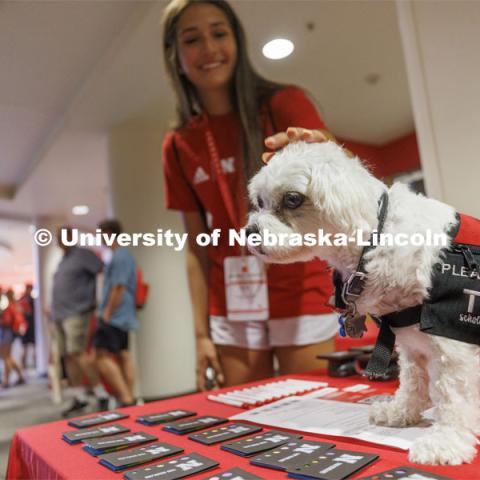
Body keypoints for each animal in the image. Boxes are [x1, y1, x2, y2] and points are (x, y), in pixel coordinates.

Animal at [248, 141, 480, 464]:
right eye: (259, 201)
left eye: (293, 199)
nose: (248, 232)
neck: (377, 239)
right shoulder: (411, 341)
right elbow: (413, 381)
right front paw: (401, 412)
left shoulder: (452, 343)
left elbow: (453, 397)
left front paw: (446, 440)